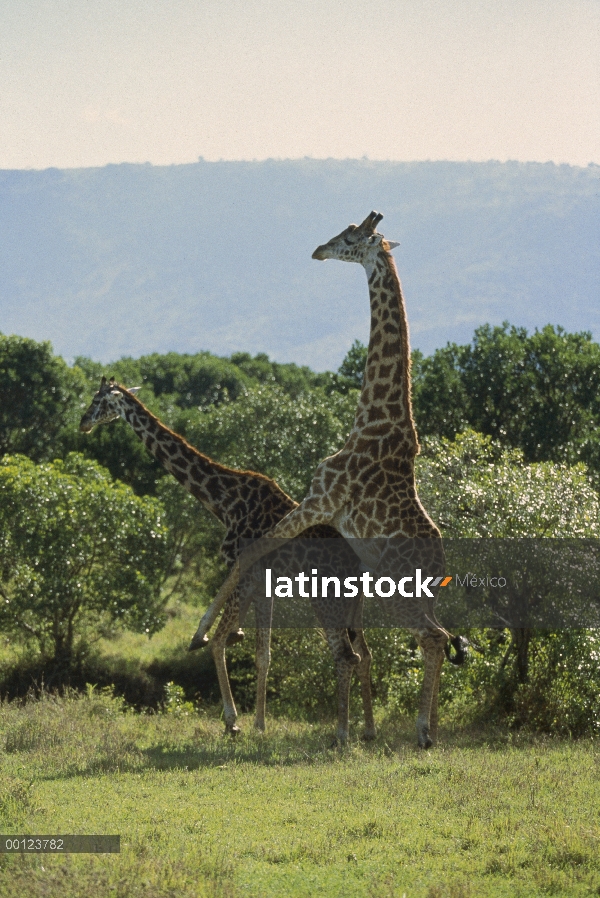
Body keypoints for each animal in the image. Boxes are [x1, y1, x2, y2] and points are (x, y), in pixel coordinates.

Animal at [77, 382, 372, 740]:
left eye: (98, 400)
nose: (83, 423)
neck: (224, 500)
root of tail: (358, 565)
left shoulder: (243, 570)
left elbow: (218, 642)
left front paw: (233, 721)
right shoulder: (264, 582)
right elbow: (263, 655)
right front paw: (259, 724)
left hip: (326, 598)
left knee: (345, 655)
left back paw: (342, 733)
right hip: (353, 604)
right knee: (364, 654)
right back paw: (369, 730)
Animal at [191, 212, 464, 748]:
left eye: (351, 236)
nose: (318, 249)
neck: (373, 418)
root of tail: (440, 561)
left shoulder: (320, 499)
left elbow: (254, 550)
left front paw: (200, 633)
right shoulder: (320, 510)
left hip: (397, 584)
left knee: (434, 637)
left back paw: (419, 731)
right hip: (409, 589)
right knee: (437, 636)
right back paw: (426, 728)